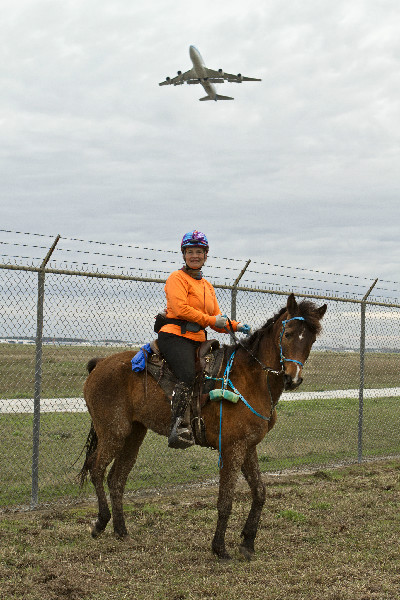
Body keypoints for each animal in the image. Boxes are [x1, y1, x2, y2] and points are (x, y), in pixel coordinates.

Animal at [79, 292, 326, 560]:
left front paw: (248, 542)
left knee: (116, 478)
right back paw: (101, 522)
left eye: (311, 339)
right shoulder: (232, 448)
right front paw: (220, 548)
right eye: (288, 333)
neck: (251, 379)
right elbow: (225, 500)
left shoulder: (248, 447)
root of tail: (100, 363)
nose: (293, 378)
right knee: (96, 468)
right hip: (114, 432)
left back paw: (122, 531)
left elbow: (260, 492)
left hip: (134, 434)